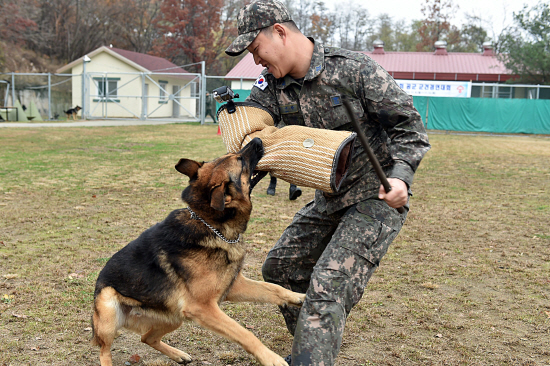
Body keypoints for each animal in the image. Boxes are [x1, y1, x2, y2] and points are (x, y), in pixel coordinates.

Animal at [92, 138, 304, 366]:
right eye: (240, 160)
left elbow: (273, 288)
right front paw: (271, 358)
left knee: (147, 337)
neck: (212, 226)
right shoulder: (203, 308)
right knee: (105, 350)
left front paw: (299, 296)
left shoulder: (233, 287)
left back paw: (178, 354)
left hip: (174, 318)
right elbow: (244, 333)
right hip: (109, 310)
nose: (257, 140)